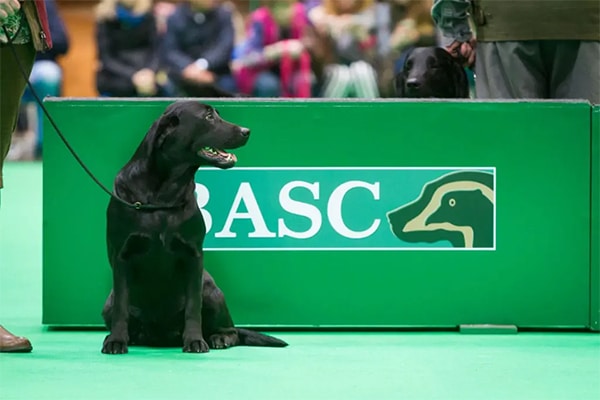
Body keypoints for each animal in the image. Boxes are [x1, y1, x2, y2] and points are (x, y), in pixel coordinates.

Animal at [101, 100, 288, 354]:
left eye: (217, 114)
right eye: (208, 117)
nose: (246, 131)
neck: (163, 194)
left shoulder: (193, 255)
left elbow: (192, 307)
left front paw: (194, 341)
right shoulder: (122, 255)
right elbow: (122, 305)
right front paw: (116, 340)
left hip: (211, 289)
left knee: (231, 330)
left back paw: (219, 338)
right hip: (107, 304)